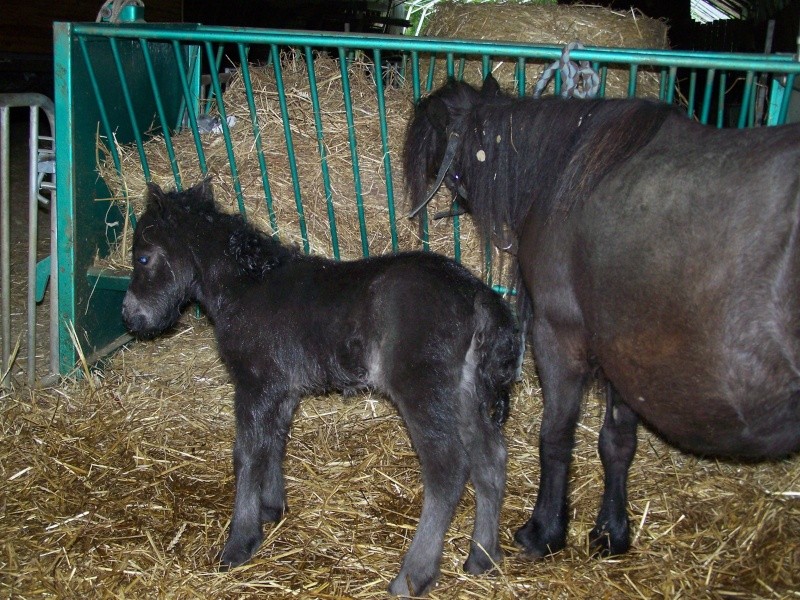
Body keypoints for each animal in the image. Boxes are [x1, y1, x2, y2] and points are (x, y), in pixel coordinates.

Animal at [119, 178, 520, 596]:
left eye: (143, 258)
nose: (131, 317)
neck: (247, 285)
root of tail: (478, 294)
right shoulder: (281, 390)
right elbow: (272, 443)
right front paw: (271, 508)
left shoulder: (254, 383)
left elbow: (246, 455)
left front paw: (239, 543)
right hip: (465, 392)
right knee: (490, 460)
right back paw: (482, 557)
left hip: (424, 390)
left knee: (448, 470)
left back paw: (413, 576)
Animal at [406, 76, 800, 564]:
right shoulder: (624, 353)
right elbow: (617, 442)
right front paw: (611, 531)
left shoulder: (559, 338)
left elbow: (555, 438)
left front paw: (544, 530)